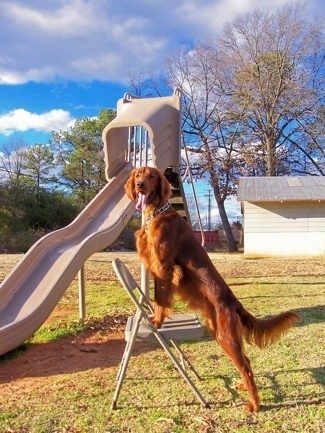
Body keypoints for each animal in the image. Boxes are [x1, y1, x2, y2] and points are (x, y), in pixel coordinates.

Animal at [124, 166, 298, 412]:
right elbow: (158, 296)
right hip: (219, 333)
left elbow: (160, 298)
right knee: (246, 362)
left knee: (245, 365)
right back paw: (244, 388)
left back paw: (254, 404)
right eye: (138, 175)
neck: (155, 213)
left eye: (151, 177)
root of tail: (234, 302)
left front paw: (156, 322)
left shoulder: (163, 266)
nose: (140, 185)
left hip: (225, 336)